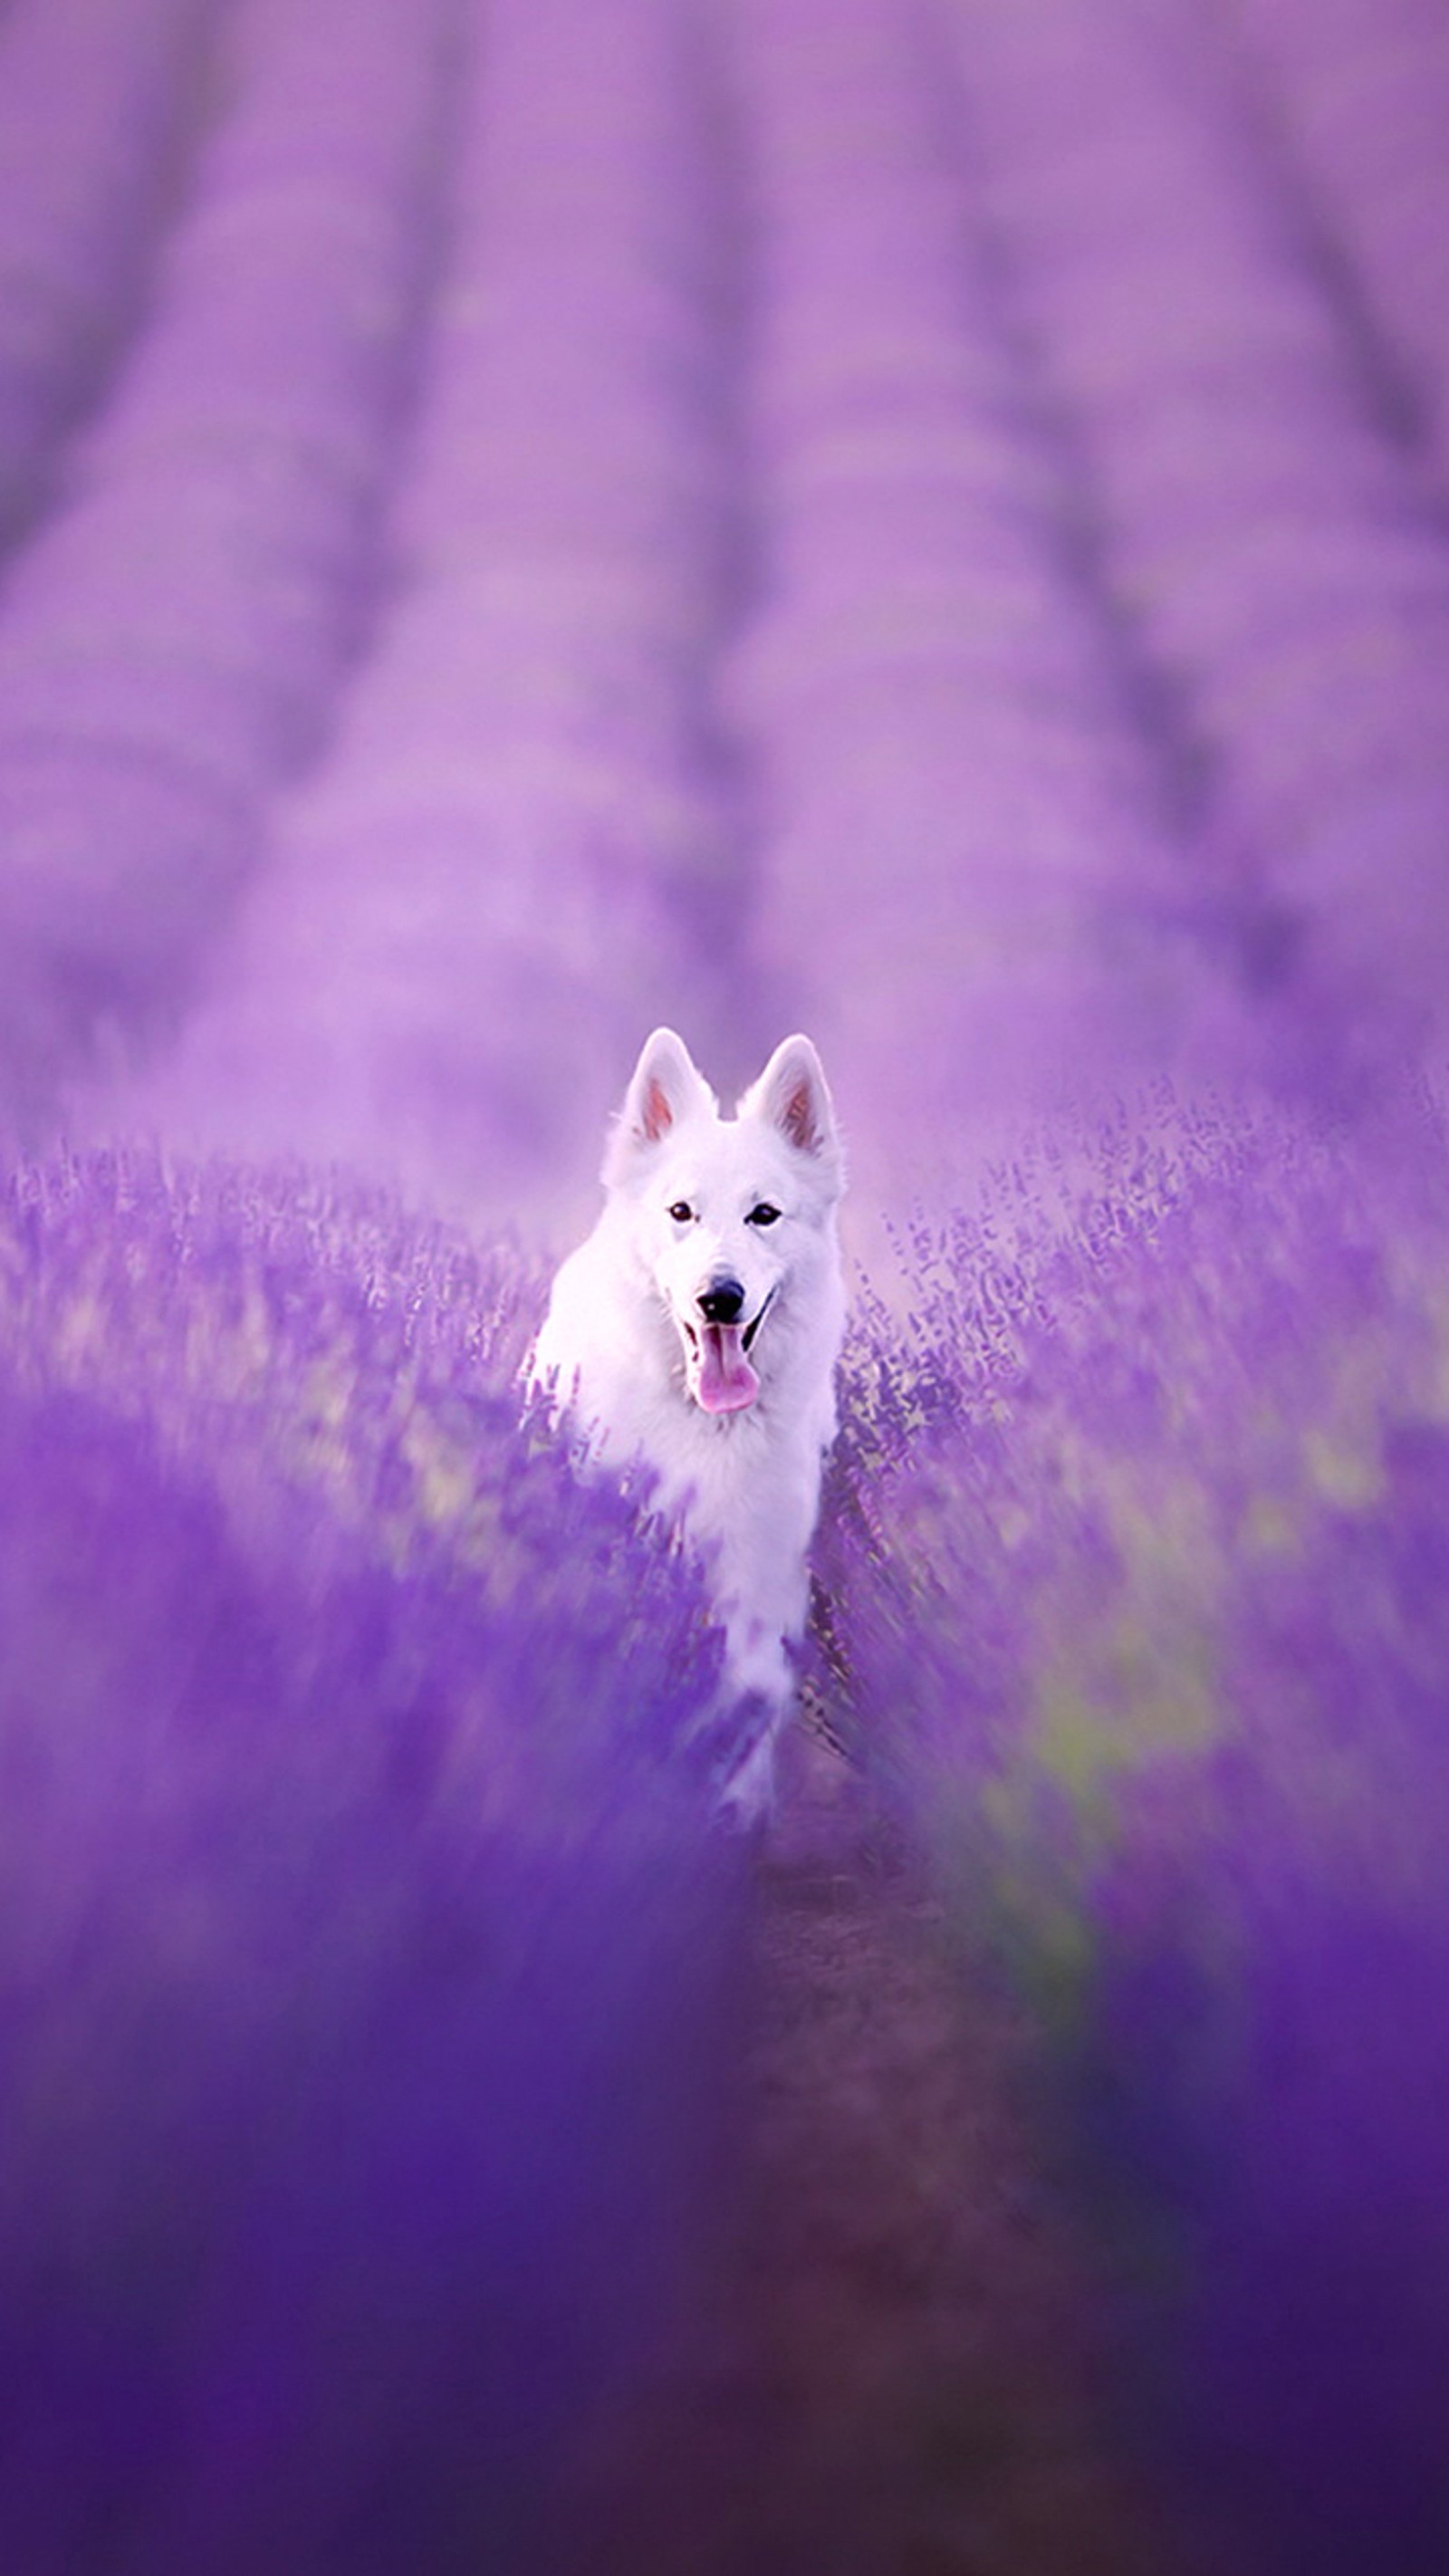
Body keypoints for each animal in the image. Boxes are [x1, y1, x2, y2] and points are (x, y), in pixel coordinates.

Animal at [530, 1024, 849, 1813]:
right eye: (682, 1213)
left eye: (764, 1215)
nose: (719, 1298)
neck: (701, 1424)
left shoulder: (755, 1568)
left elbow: (743, 1693)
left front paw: (734, 1806)